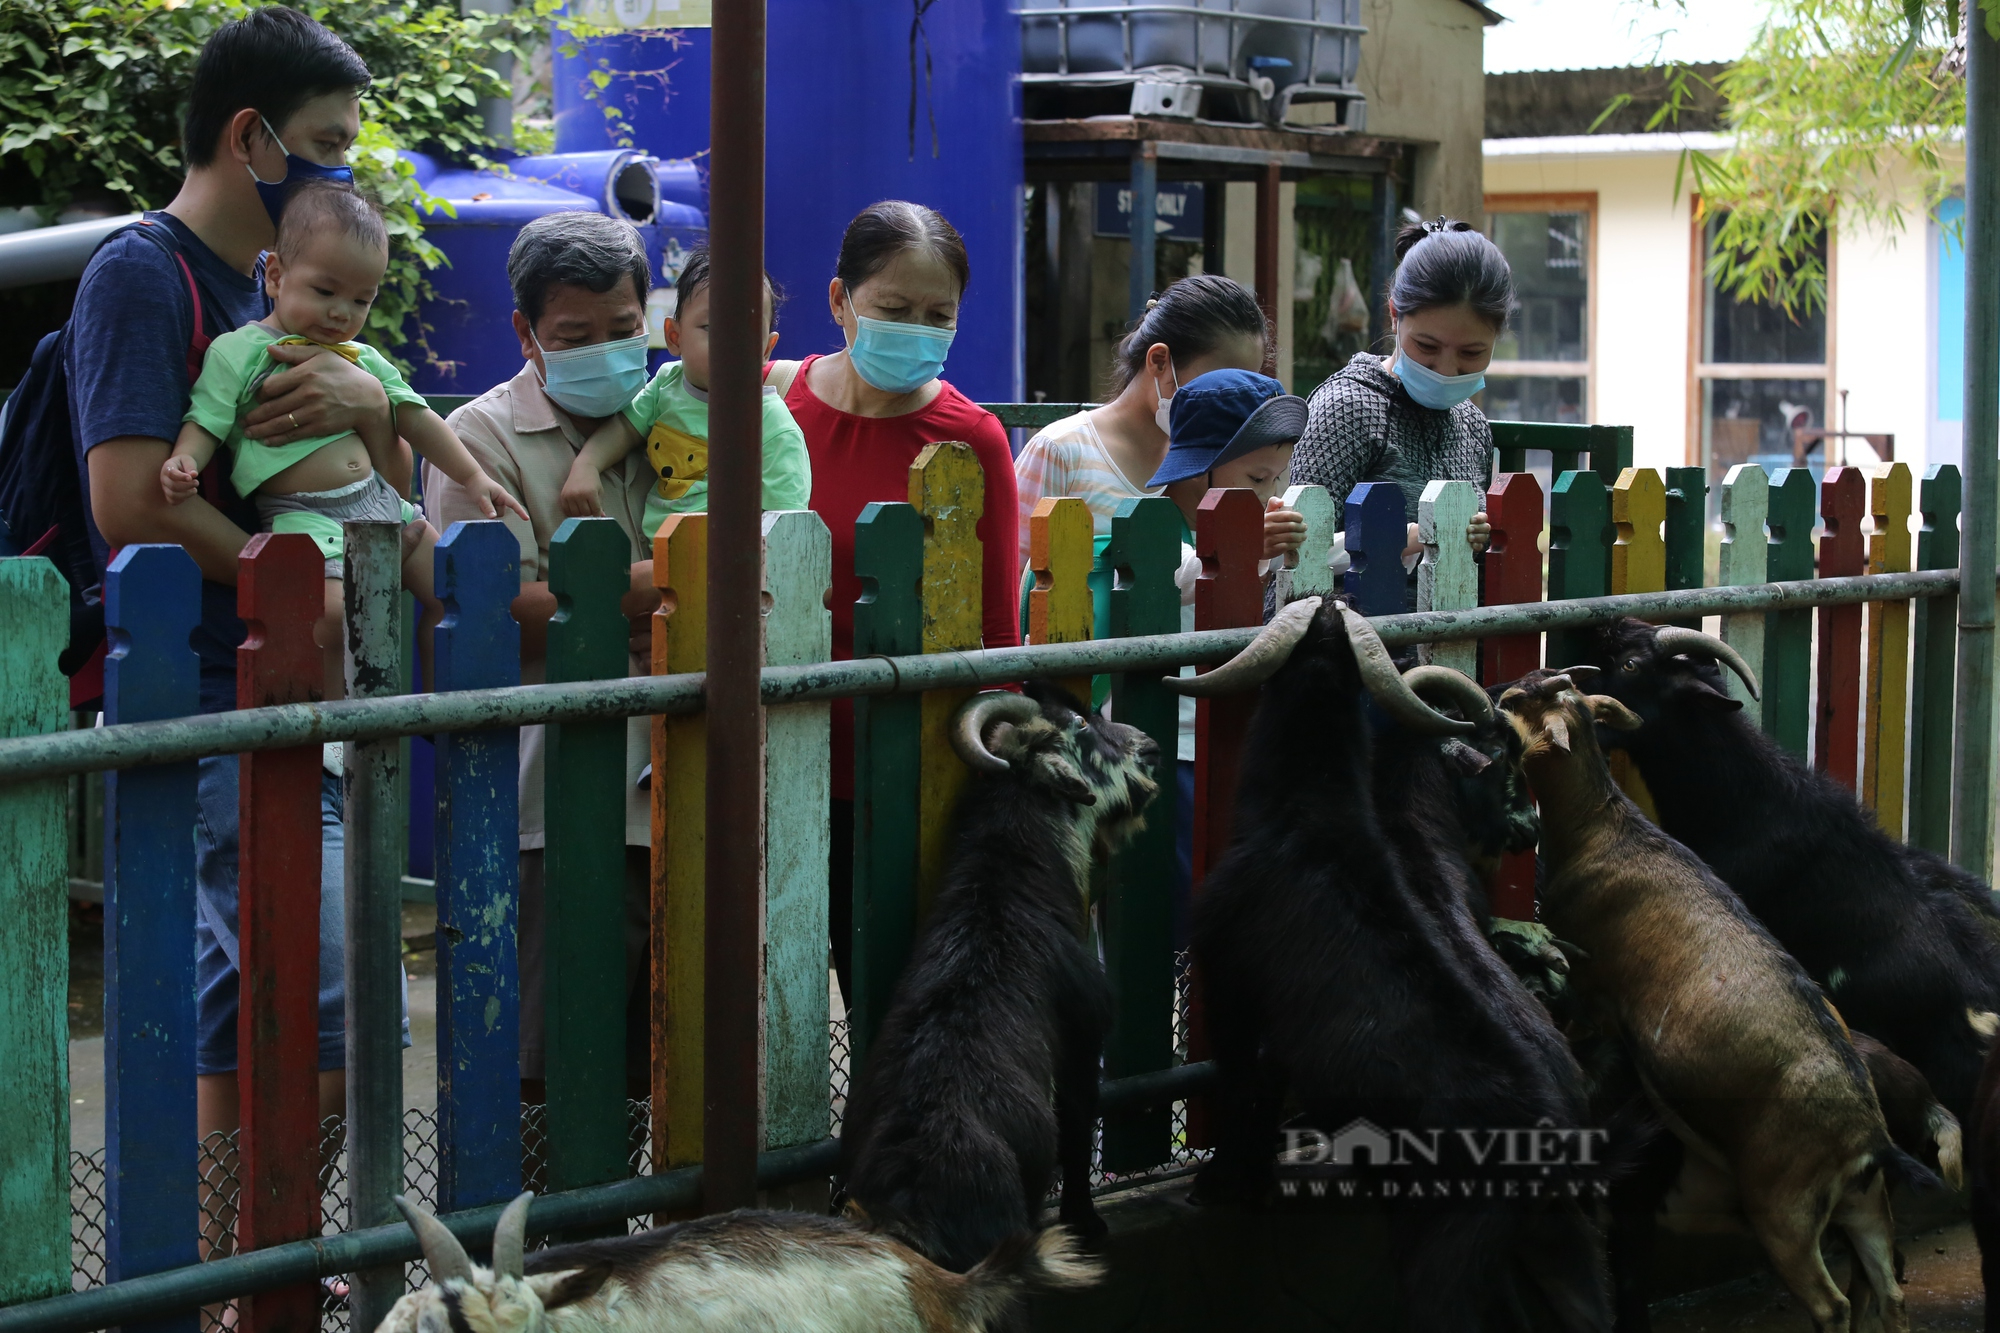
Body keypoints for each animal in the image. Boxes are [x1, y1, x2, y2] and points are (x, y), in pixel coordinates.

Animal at [840, 684, 1160, 1264]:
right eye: (1082, 724)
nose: (1148, 746)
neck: (1005, 884)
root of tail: (913, 1203)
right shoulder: (1084, 1035)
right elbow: (1078, 1125)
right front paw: (1085, 1222)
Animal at [1176, 600, 1616, 1328]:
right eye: (1503, 760)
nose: (1527, 831)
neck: (1312, 814)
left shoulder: (1228, 977)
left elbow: (1240, 1079)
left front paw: (1221, 1182)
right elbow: (1267, 1083)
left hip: (1445, 1246)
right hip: (1554, 1237)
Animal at [1504, 668, 1936, 1328]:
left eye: (1525, 699)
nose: (1498, 696)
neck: (1600, 829)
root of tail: (1870, 1140)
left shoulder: (1591, 984)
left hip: (1785, 1213)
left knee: (1833, 1302)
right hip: (1864, 1211)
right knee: (1889, 1290)